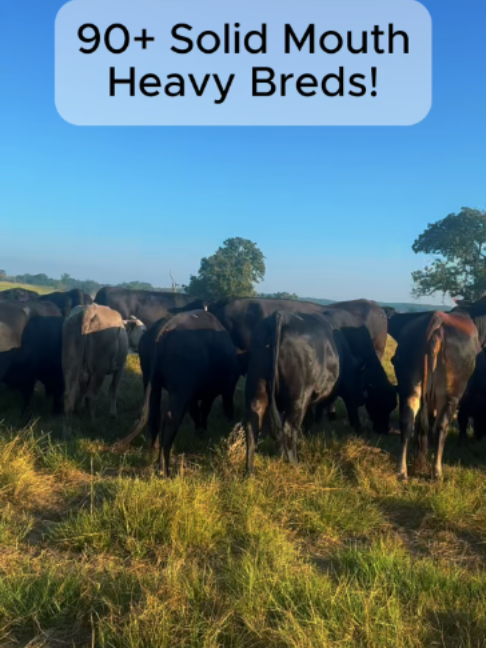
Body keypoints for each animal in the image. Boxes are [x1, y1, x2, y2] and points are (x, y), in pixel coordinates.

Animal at [62, 304, 145, 434]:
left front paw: (79, 407)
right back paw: (93, 423)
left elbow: (83, 389)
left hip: (70, 365)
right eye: (143, 331)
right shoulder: (120, 367)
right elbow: (113, 389)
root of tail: (89, 310)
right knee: (91, 395)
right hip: (99, 370)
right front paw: (113, 414)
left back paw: (67, 430)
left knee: (69, 395)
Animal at [115, 310, 240, 477]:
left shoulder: (191, 396)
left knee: (154, 414)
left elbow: (196, 412)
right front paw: (203, 430)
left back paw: (154, 445)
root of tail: (166, 327)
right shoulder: (209, 393)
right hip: (179, 390)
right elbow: (205, 410)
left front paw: (200, 430)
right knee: (170, 419)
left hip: (151, 382)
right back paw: (164, 468)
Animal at [244, 311, 367, 475]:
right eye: (362, 380)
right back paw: (296, 465)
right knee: (289, 428)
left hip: (257, 389)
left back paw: (250, 472)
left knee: (252, 425)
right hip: (298, 396)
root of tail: (279, 316)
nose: (363, 398)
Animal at [392, 311, 479, 480]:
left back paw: (402, 471)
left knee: (407, 422)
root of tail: (437, 319)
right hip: (450, 395)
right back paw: (437, 471)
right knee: (441, 426)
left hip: (409, 389)